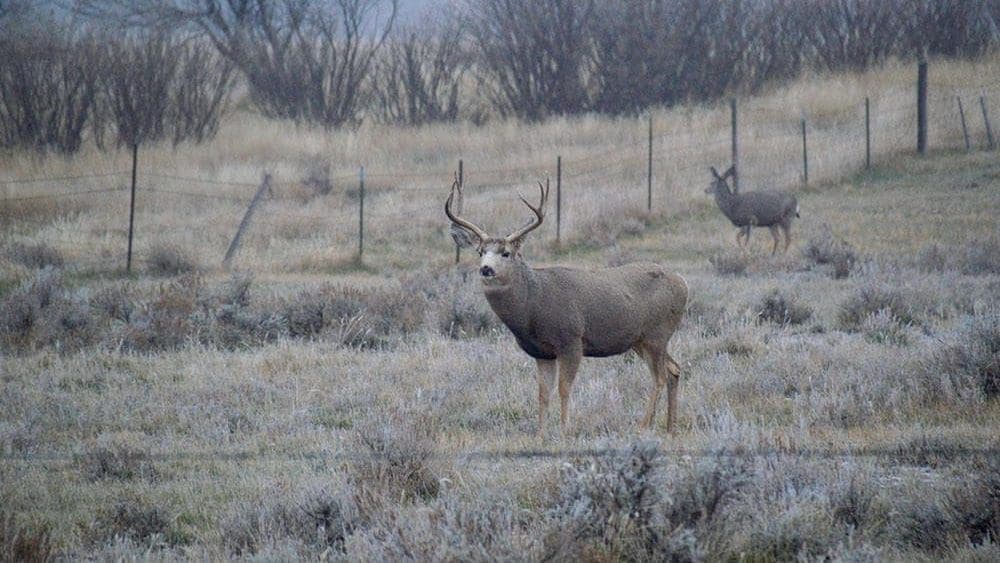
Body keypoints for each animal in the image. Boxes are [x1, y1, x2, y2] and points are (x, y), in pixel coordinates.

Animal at [445, 177, 688, 437]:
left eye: (506, 253)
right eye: (480, 251)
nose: (486, 269)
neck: (533, 305)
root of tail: (683, 283)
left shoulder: (571, 340)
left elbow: (564, 388)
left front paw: (564, 430)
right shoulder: (541, 352)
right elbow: (543, 394)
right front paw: (540, 434)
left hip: (657, 333)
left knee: (659, 377)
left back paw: (643, 426)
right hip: (640, 340)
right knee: (674, 369)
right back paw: (671, 429)